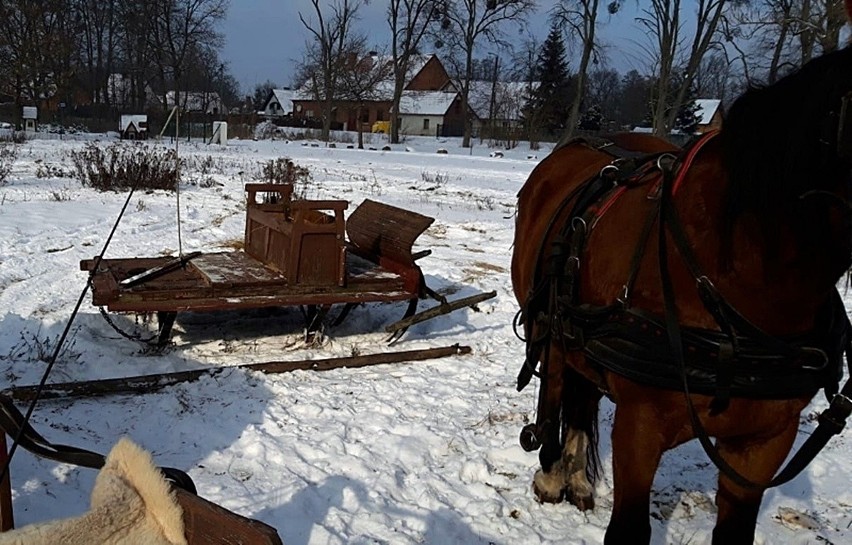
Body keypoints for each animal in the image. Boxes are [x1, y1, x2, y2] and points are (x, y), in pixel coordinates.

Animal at [512, 46, 852, 540]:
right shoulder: (640, 428)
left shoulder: (764, 441)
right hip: (553, 331)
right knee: (559, 389)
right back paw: (554, 475)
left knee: (582, 393)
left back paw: (573, 480)